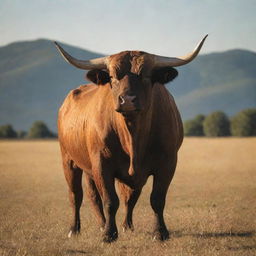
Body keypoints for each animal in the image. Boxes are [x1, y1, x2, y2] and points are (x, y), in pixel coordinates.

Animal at [55, 35, 207, 242]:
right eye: (112, 77)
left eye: (146, 76)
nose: (127, 100)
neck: (132, 137)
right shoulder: (101, 163)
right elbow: (110, 200)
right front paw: (109, 234)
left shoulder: (167, 163)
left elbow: (155, 199)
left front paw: (159, 232)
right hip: (69, 160)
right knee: (76, 195)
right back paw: (76, 229)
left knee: (111, 197)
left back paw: (118, 225)